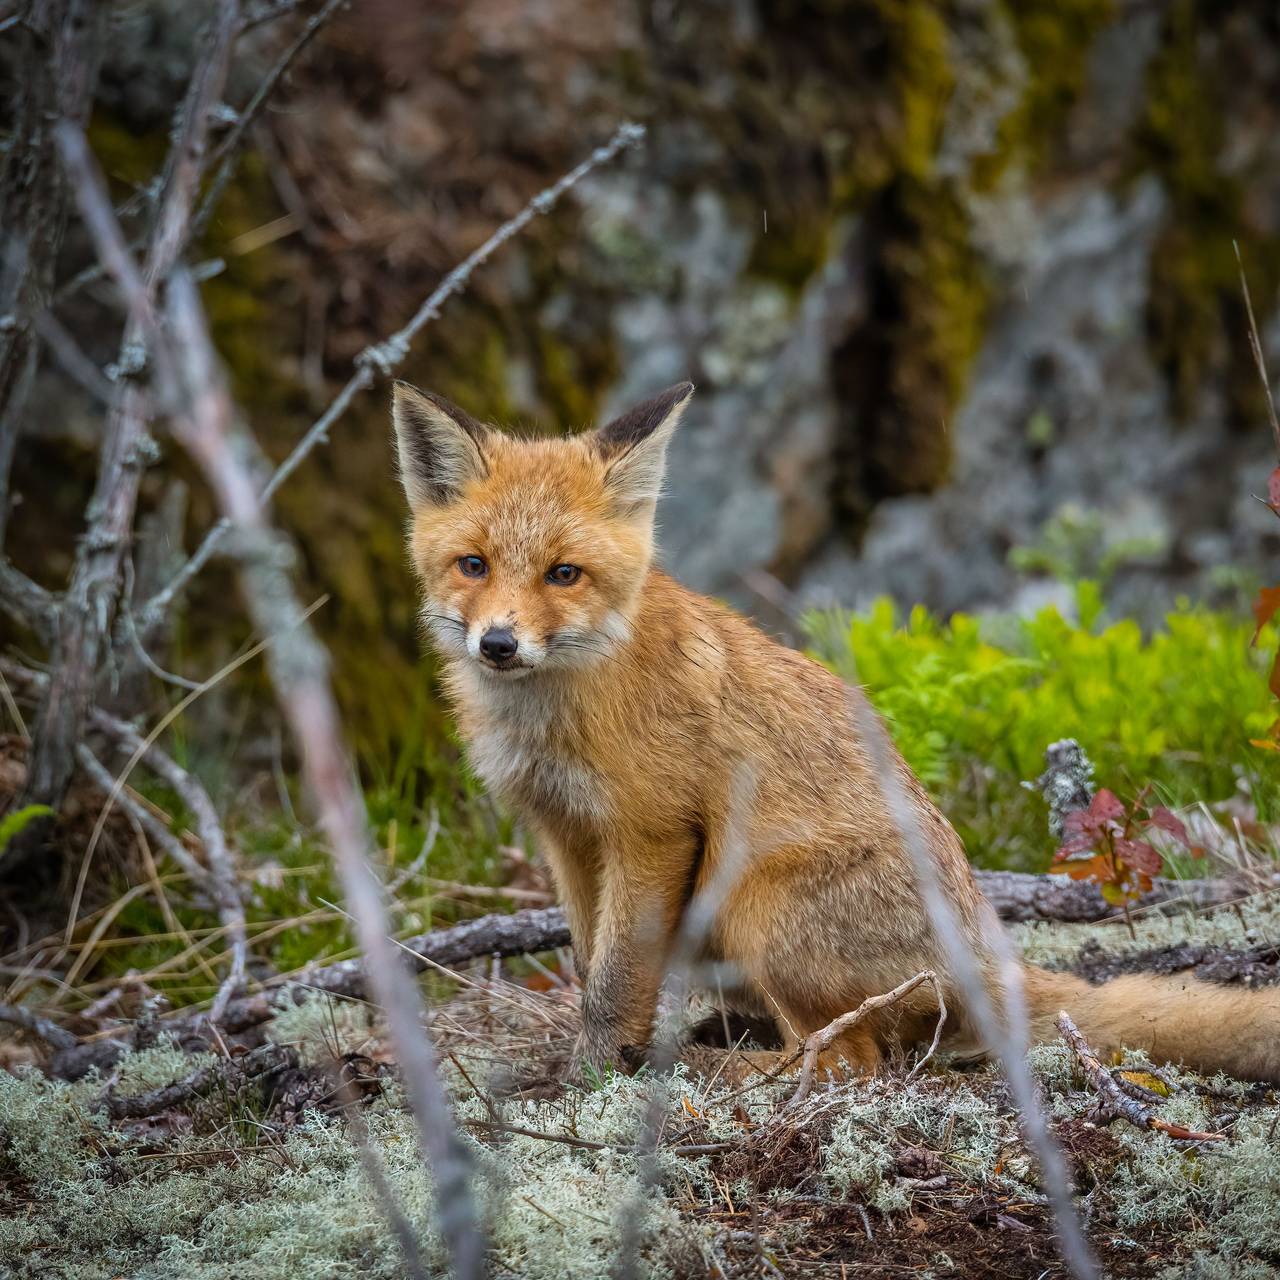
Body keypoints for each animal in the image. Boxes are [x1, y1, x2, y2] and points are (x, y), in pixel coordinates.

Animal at [392, 378, 1280, 1083]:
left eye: (563, 575)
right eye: (474, 566)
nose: (498, 644)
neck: (557, 714)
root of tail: (987, 953)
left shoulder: (650, 834)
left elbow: (615, 983)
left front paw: (599, 1075)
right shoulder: (567, 836)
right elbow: (589, 965)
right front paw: (592, 1061)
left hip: (755, 899)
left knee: (848, 1061)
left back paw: (715, 1068)